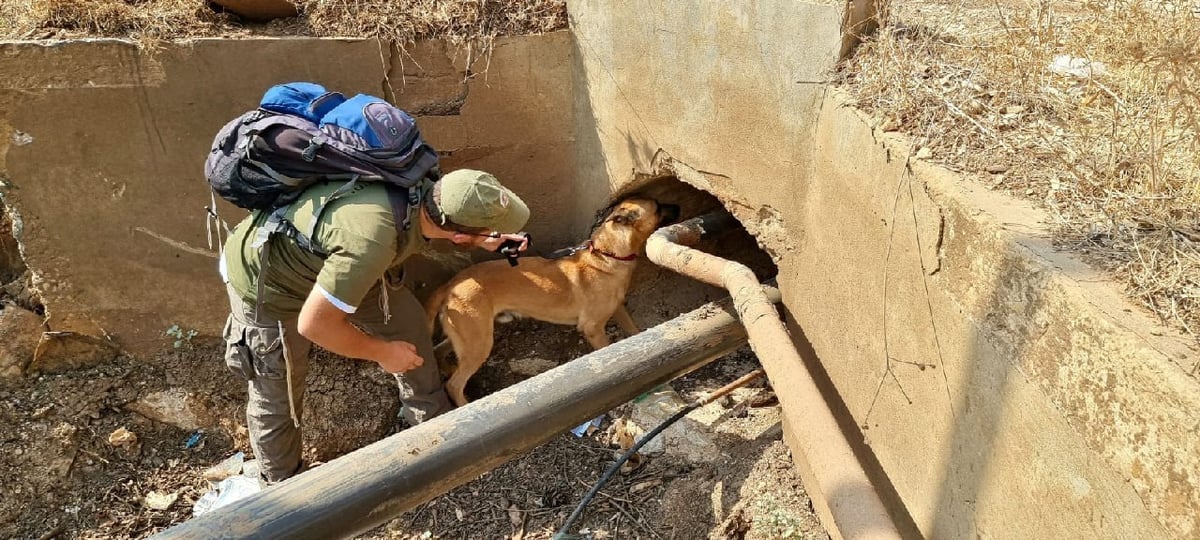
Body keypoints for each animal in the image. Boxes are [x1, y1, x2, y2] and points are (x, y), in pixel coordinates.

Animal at [427, 196, 681, 405]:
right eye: (658, 206)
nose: (679, 205)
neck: (607, 254)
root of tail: (451, 283)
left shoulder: (619, 309)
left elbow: (635, 332)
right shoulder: (593, 328)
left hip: (469, 336)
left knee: (439, 352)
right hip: (479, 343)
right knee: (454, 385)